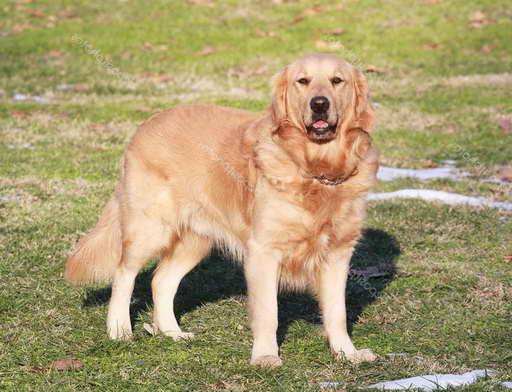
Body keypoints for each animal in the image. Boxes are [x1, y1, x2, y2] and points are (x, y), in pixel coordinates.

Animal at [64, 53, 378, 366]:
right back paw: (119, 329)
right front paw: (265, 356)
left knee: (160, 281)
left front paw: (347, 352)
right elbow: (269, 313)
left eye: (337, 80)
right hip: (150, 228)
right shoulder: (264, 251)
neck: (317, 170)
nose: (319, 103)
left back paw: (172, 333)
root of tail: (146, 123)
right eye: (303, 81)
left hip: (195, 240)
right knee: (124, 273)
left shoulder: (338, 253)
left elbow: (337, 312)